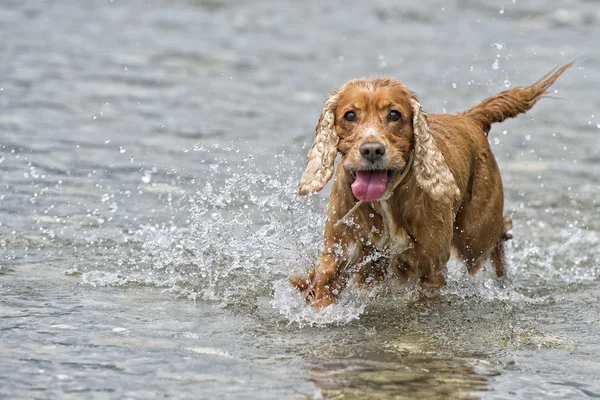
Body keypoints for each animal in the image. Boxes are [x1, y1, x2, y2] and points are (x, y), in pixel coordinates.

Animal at [290, 61, 572, 310]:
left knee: (499, 233)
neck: (386, 201)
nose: (371, 149)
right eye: (349, 115)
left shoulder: (430, 267)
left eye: (394, 114)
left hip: (475, 233)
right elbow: (321, 285)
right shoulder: (338, 253)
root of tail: (469, 119)